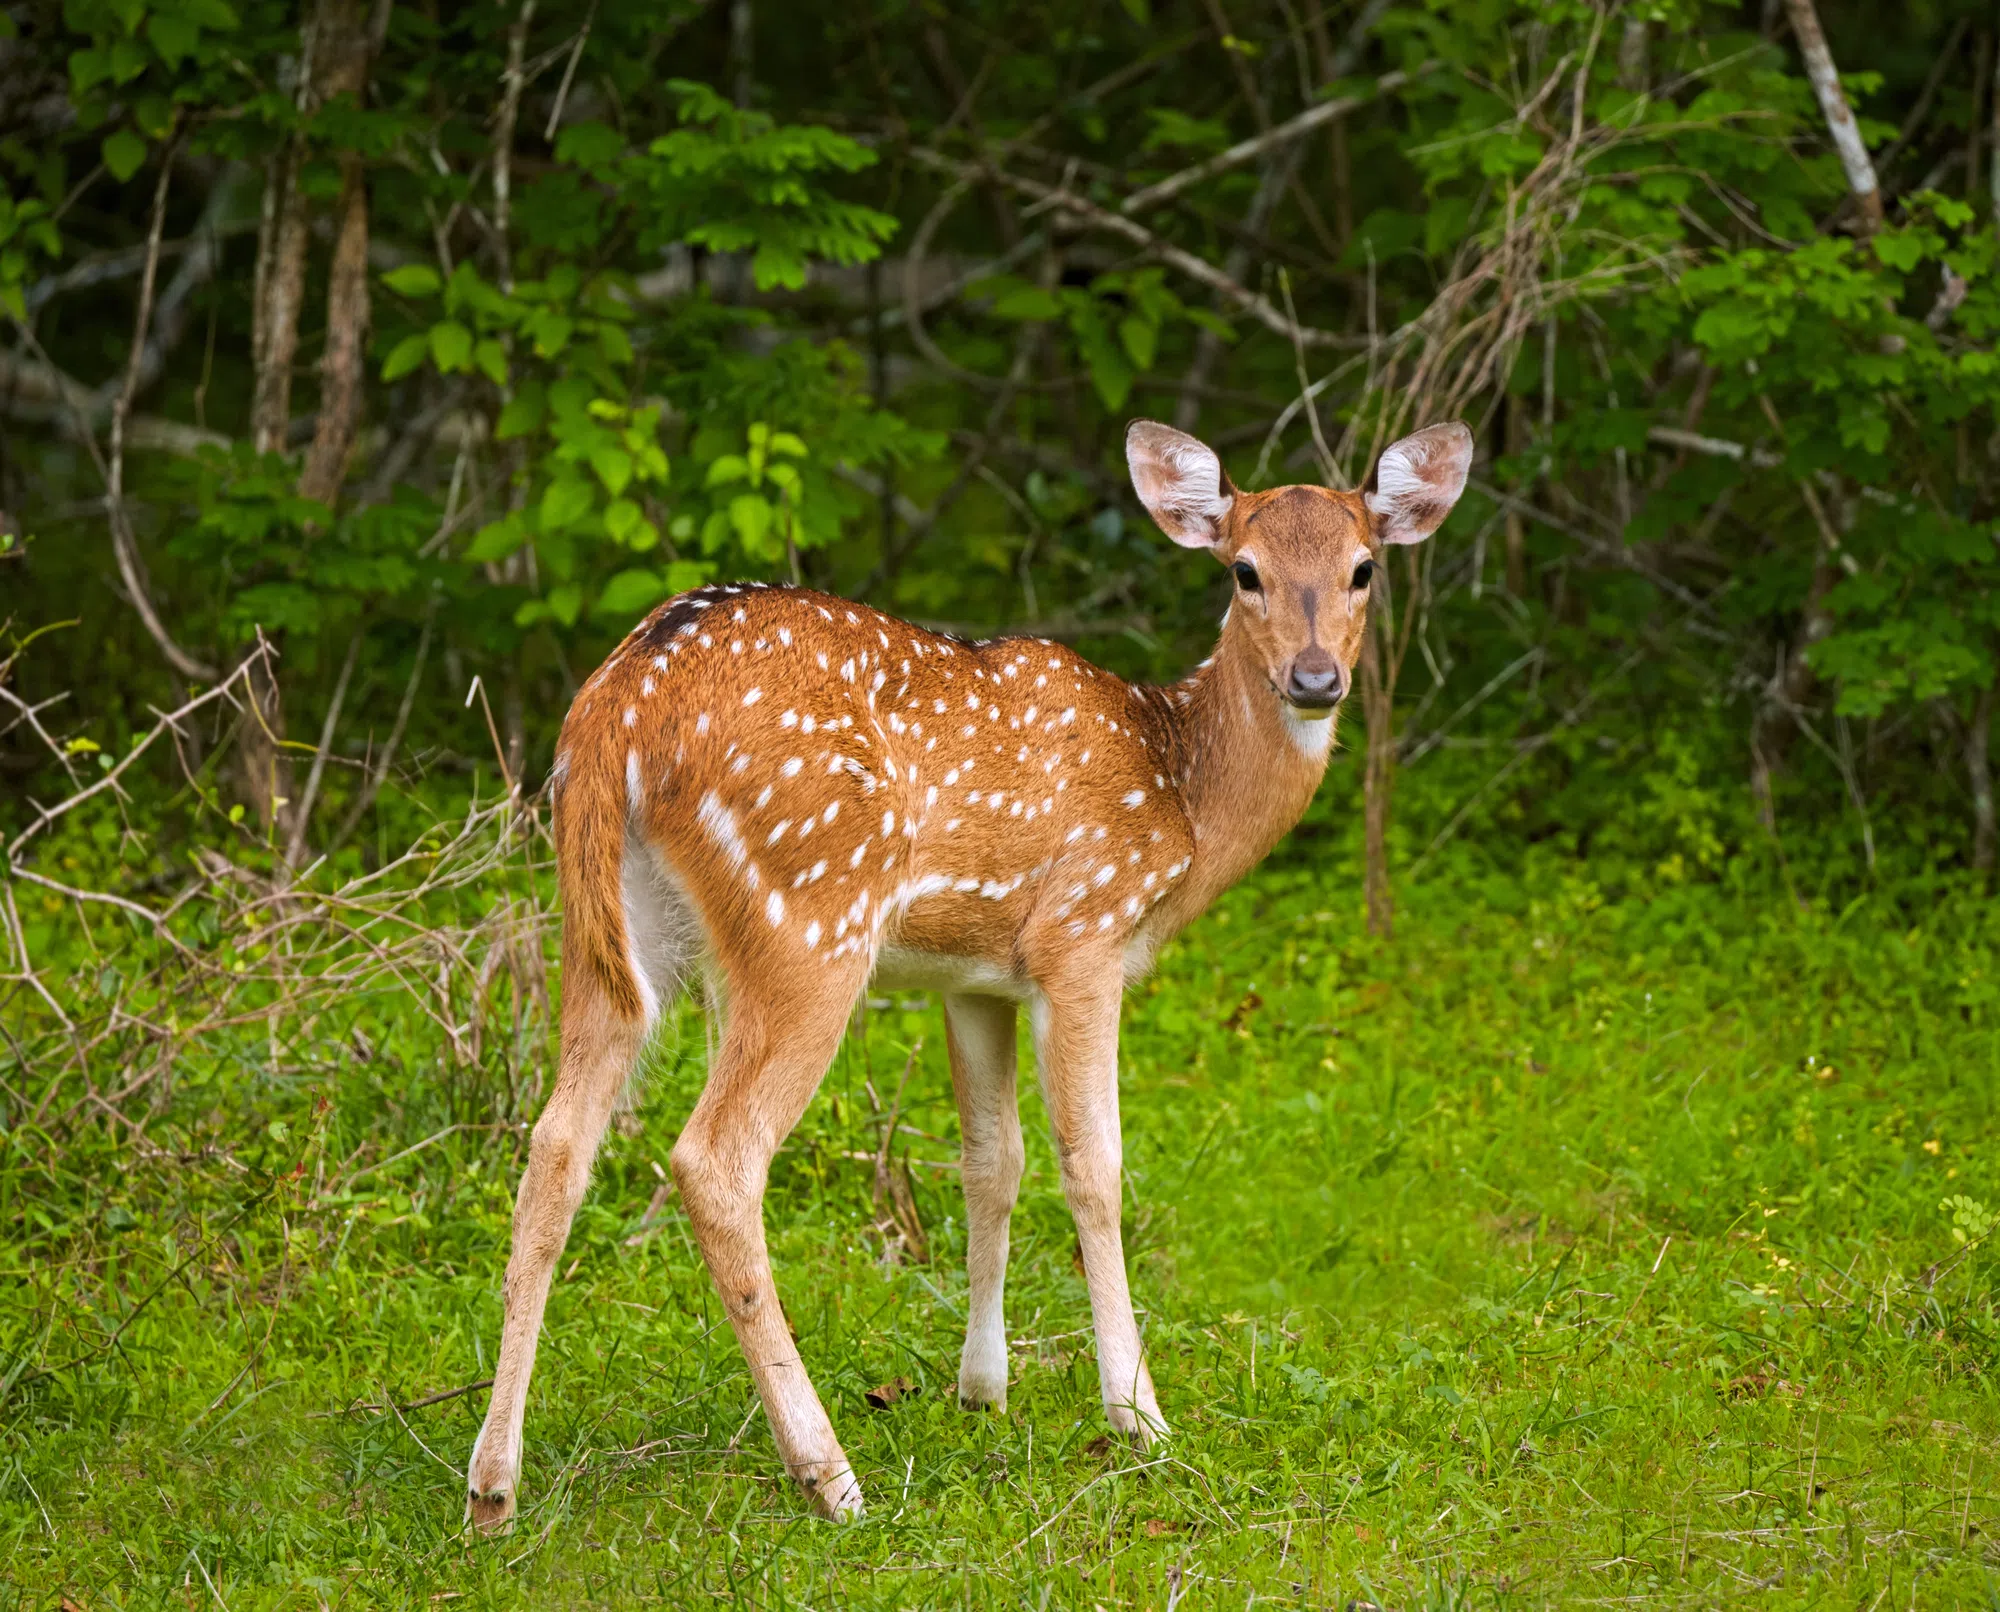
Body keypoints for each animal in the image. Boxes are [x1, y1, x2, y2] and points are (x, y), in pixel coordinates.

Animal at [465, 416, 1473, 1528]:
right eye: (1243, 570)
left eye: (1363, 568)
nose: (1313, 679)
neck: (1181, 798)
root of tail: (616, 710)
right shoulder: (1081, 936)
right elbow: (1093, 1166)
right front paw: (1137, 1414)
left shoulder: (976, 978)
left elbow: (992, 1161)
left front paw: (980, 1388)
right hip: (809, 917)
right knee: (714, 1158)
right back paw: (829, 1474)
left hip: (605, 924)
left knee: (555, 1144)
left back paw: (492, 1484)